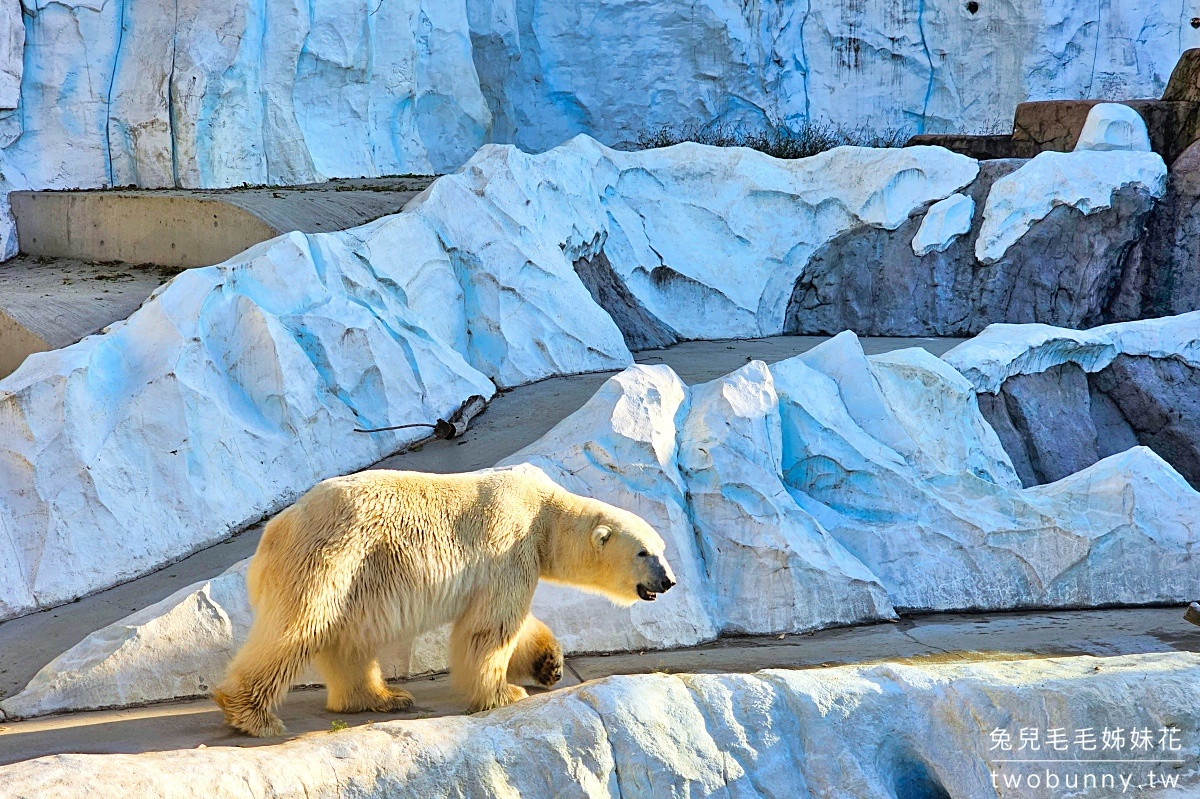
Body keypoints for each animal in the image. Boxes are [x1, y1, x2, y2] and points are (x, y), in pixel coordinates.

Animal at [212, 466, 676, 737]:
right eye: (643, 553)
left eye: (662, 548)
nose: (669, 580)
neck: (543, 511)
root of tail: (275, 531)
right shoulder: (510, 544)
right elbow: (491, 626)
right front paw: (504, 692)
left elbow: (509, 620)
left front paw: (548, 663)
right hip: (332, 559)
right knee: (298, 628)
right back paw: (252, 715)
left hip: (355, 578)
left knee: (347, 639)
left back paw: (382, 697)